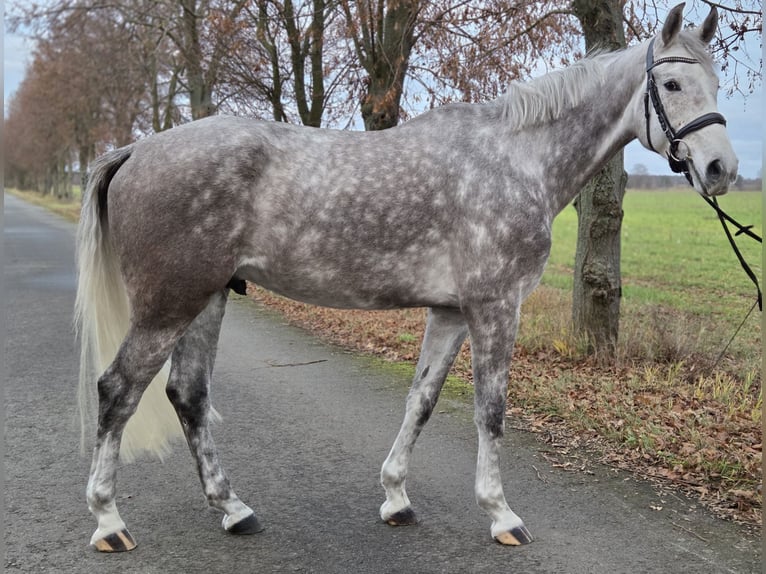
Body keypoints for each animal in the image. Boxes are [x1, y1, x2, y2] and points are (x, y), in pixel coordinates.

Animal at [75, 4, 736, 552]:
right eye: (671, 84)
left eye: (716, 84)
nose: (721, 169)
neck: (516, 160)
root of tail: (136, 150)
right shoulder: (496, 307)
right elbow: (491, 410)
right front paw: (501, 515)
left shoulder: (450, 312)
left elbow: (422, 399)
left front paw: (395, 497)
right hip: (169, 304)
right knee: (119, 390)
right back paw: (109, 522)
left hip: (206, 298)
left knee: (187, 394)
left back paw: (234, 510)